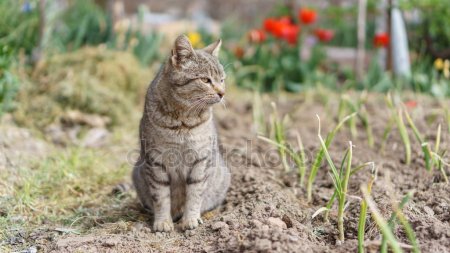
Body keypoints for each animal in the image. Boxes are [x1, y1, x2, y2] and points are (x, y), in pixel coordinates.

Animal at [130, 35, 229, 231]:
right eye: (205, 80)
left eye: (222, 79)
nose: (222, 93)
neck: (183, 120)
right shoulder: (155, 160)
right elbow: (161, 196)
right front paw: (162, 222)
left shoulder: (201, 159)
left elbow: (195, 193)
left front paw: (190, 219)